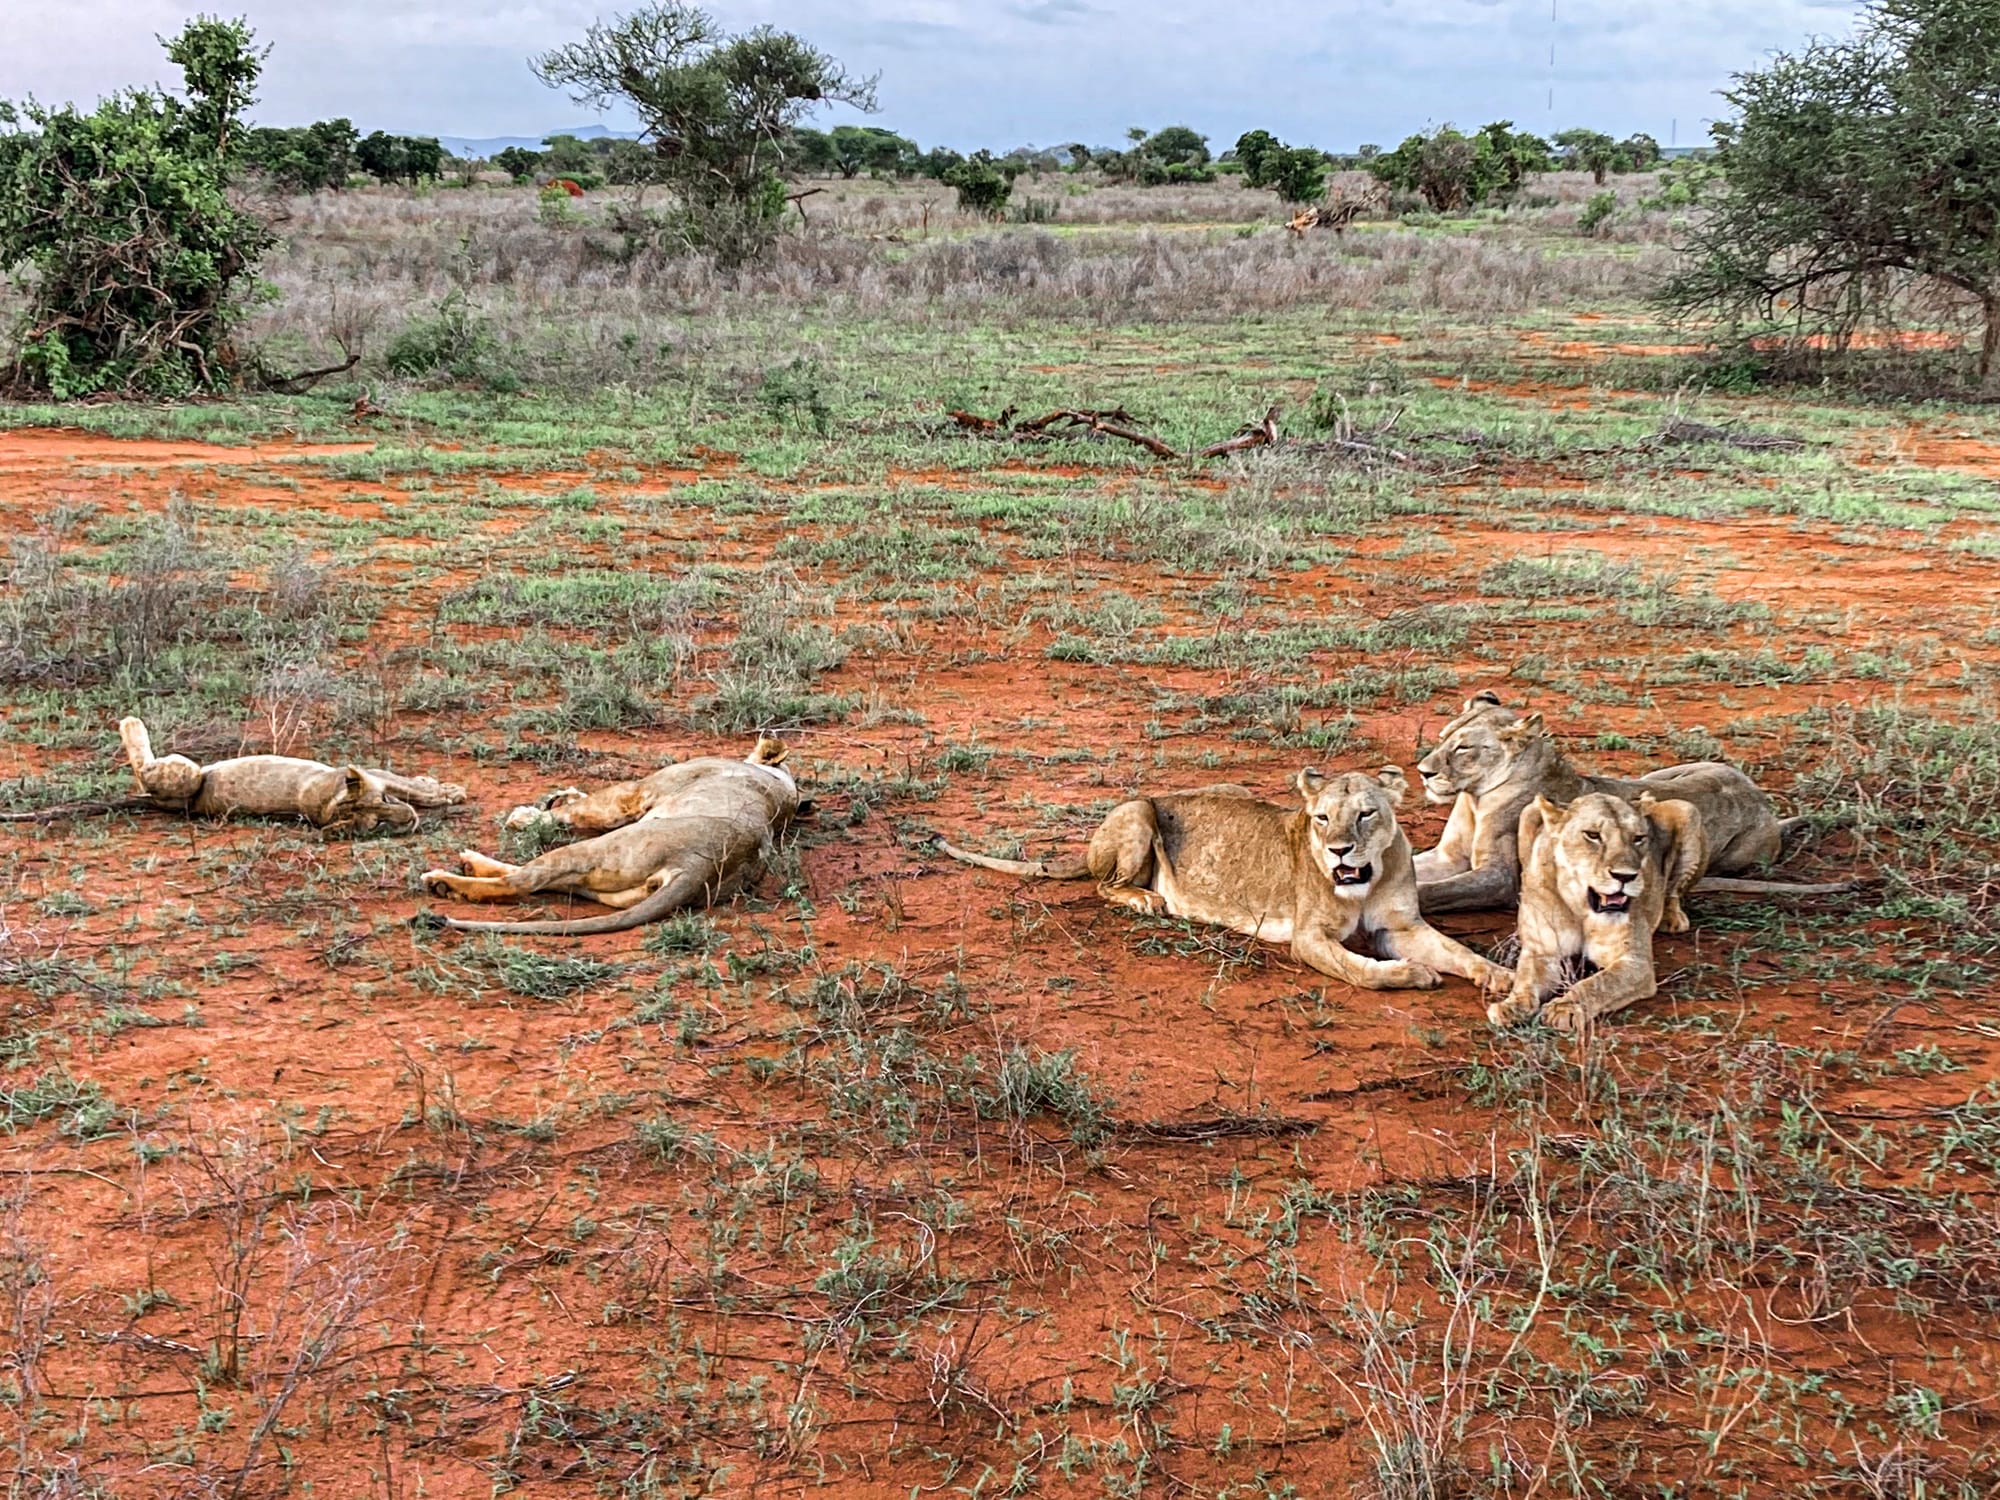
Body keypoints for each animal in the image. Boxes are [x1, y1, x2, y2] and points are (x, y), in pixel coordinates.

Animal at [119, 716, 463, 834]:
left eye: (384, 802)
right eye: (379, 823)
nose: (409, 819)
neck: (330, 802)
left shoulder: (373, 776)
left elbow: (409, 789)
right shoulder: (367, 770)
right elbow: (418, 790)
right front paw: (449, 791)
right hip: (189, 777)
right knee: (144, 770)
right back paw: (131, 721)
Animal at [419, 738, 801, 935]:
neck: (782, 786)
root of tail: (701, 866)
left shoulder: (636, 792)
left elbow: (585, 808)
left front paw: (527, 816)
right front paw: (561, 796)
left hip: (600, 849)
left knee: (520, 882)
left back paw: (445, 881)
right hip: (606, 885)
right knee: (538, 880)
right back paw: (467, 866)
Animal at [940, 766, 1511, 993]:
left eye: (1367, 814)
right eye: (1322, 818)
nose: (1339, 850)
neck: (1364, 881)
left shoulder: (1402, 926)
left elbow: (1458, 951)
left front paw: (1500, 978)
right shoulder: (1308, 937)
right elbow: (1362, 970)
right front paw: (1413, 974)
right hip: (1139, 811)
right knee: (1104, 885)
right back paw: (1147, 900)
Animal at [1412, 693, 1846, 914]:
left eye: (1463, 748)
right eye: (1443, 737)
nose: (1423, 771)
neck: (1475, 797)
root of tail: (1763, 803)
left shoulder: (1501, 878)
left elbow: (1432, 891)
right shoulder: (1447, 857)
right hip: (1664, 775)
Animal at [1487, 792, 1706, 1033]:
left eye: (1638, 838)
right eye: (1592, 835)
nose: (1625, 876)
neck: (1581, 909)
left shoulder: (1634, 962)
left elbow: (1599, 983)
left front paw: (1565, 1008)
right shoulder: (1541, 952)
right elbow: (1525, 980)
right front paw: (1511, 1007)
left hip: (1687, 810)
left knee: (1674, 890)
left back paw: (1672, 918)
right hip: (1528, 811)